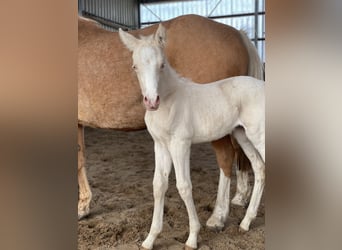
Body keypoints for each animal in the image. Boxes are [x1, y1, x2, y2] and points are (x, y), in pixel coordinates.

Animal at [78, 14, 262, 220]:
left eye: (162, 65)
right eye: (134, 66)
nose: (151, 101)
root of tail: (237, 34)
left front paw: (82, 207)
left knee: (226, 157)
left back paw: (219, 215)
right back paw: (240, 198)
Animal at [119, 23, 266, 250]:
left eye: (162, 65)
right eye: (135, 67)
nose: (151, 101)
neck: (169, 100)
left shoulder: (180, 144)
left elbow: (184, 186)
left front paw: (192, 237)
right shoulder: (160, 145)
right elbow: (158, 185)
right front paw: (150, 239)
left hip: (258, 134)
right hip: (243, 135)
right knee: (259, 168)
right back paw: (245, 223)